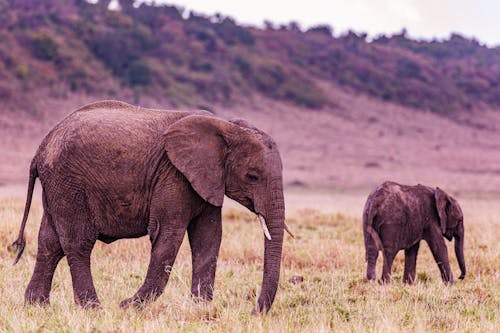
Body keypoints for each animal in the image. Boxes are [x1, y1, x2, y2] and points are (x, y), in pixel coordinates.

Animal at [10, 100, 292, 312]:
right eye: (252, 176)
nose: (254, 311)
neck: (226, 126)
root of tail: (41, 146)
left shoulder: (207, 179)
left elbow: (208, 238)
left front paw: (201, 308)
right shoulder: (174, 175)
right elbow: (168, 236)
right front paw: (128, 307)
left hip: (58, 185)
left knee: (49, 242)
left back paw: (37, 307)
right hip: (69, 183)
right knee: (77, 243)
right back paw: (93, 309)